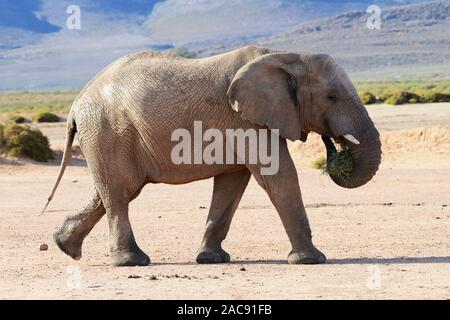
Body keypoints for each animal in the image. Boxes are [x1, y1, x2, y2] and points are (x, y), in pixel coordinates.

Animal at [44, 44, 380, 264]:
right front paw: (312, 260)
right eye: (331, 97)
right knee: (120, 192)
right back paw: (131, 261)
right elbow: (277, 175)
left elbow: (233, 182)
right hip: (108, 130)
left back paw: (65, 247)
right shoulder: (245, 119)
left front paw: (212, 259)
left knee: (112, 190)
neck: (285, 55)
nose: (333, 144)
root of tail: (76, 102)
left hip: (107, 136)